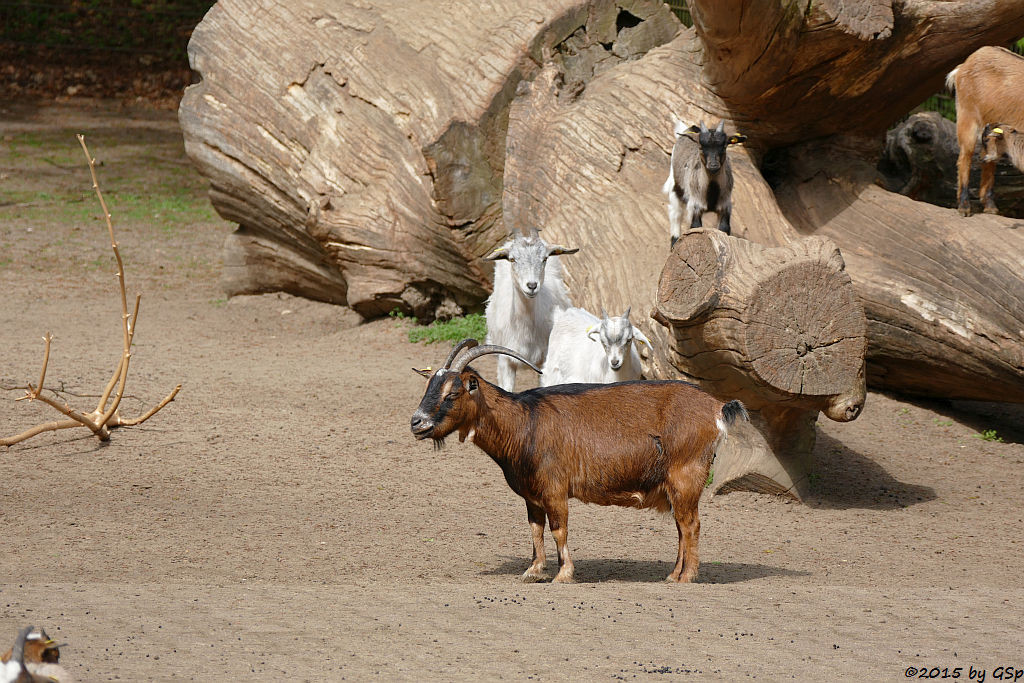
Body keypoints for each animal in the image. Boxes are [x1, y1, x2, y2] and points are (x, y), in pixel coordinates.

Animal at [411, 339, 749, 585]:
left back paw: (687, 577)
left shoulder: (555, 489)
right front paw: (533, 571)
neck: (525, 422)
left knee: (691, 525)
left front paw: (563, 575)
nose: (417, 422)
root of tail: (716, 406)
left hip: (686, 476)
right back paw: (672, 574)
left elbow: (559, 529)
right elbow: (535, 529)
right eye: (429, 388)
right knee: (681, 526)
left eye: (453, 392)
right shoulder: (532, 495)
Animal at [942, 45, 1024, 215]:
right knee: (965, 157)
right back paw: (964, 206)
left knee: (987, 157)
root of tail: (963, 66)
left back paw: (990, 206)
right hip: (967, 117)